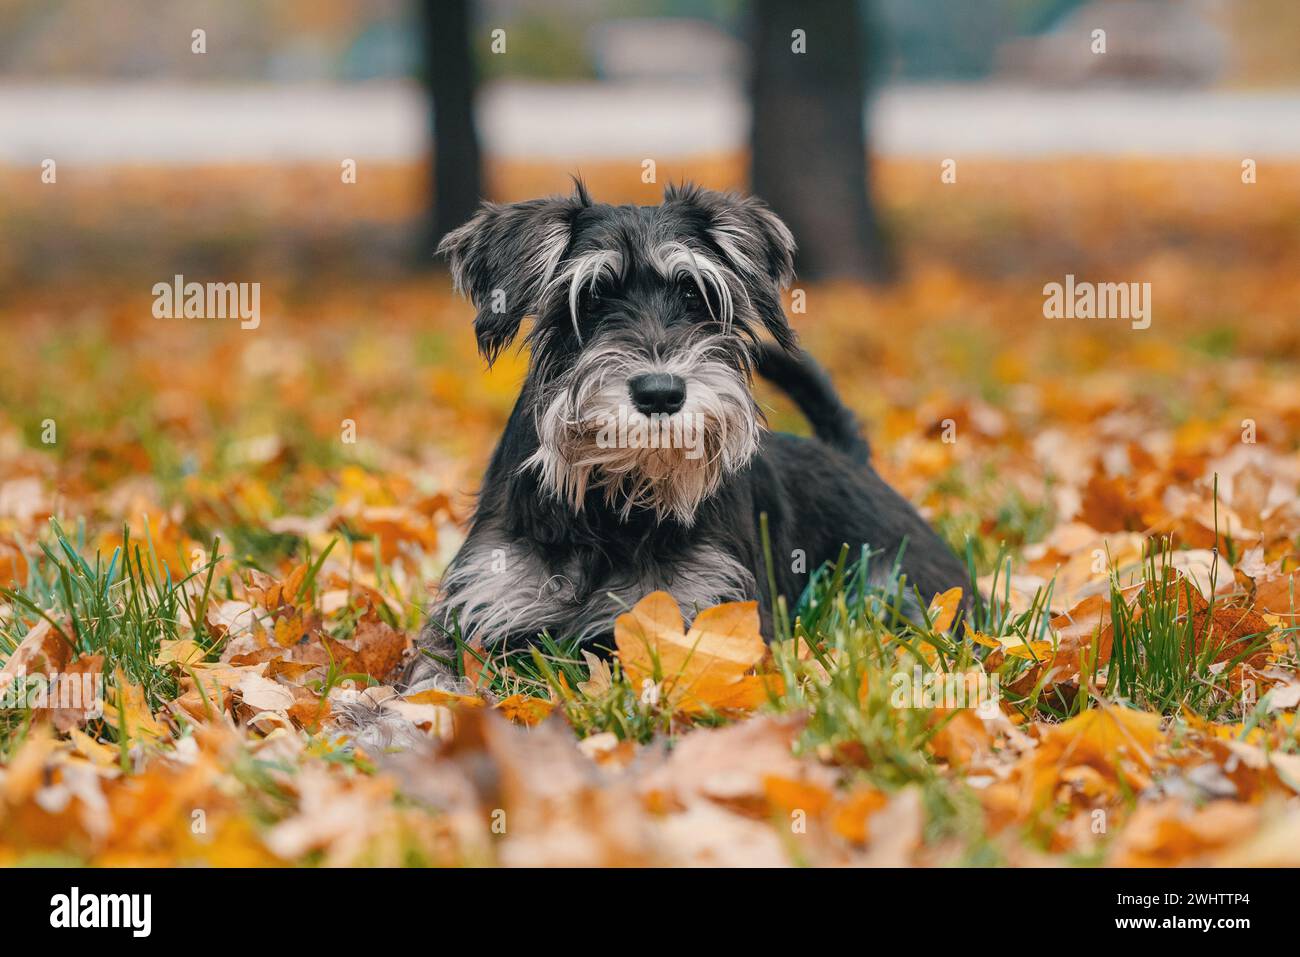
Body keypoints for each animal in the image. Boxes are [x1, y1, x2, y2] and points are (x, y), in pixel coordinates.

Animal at [405, 180, 967, 686]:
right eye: (590, 299)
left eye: (696, 294)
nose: (660, 393)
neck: (613, 505)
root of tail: (851, 460)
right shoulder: (479, 609)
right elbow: (435, 681)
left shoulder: (704, 614)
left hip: (899, 590)